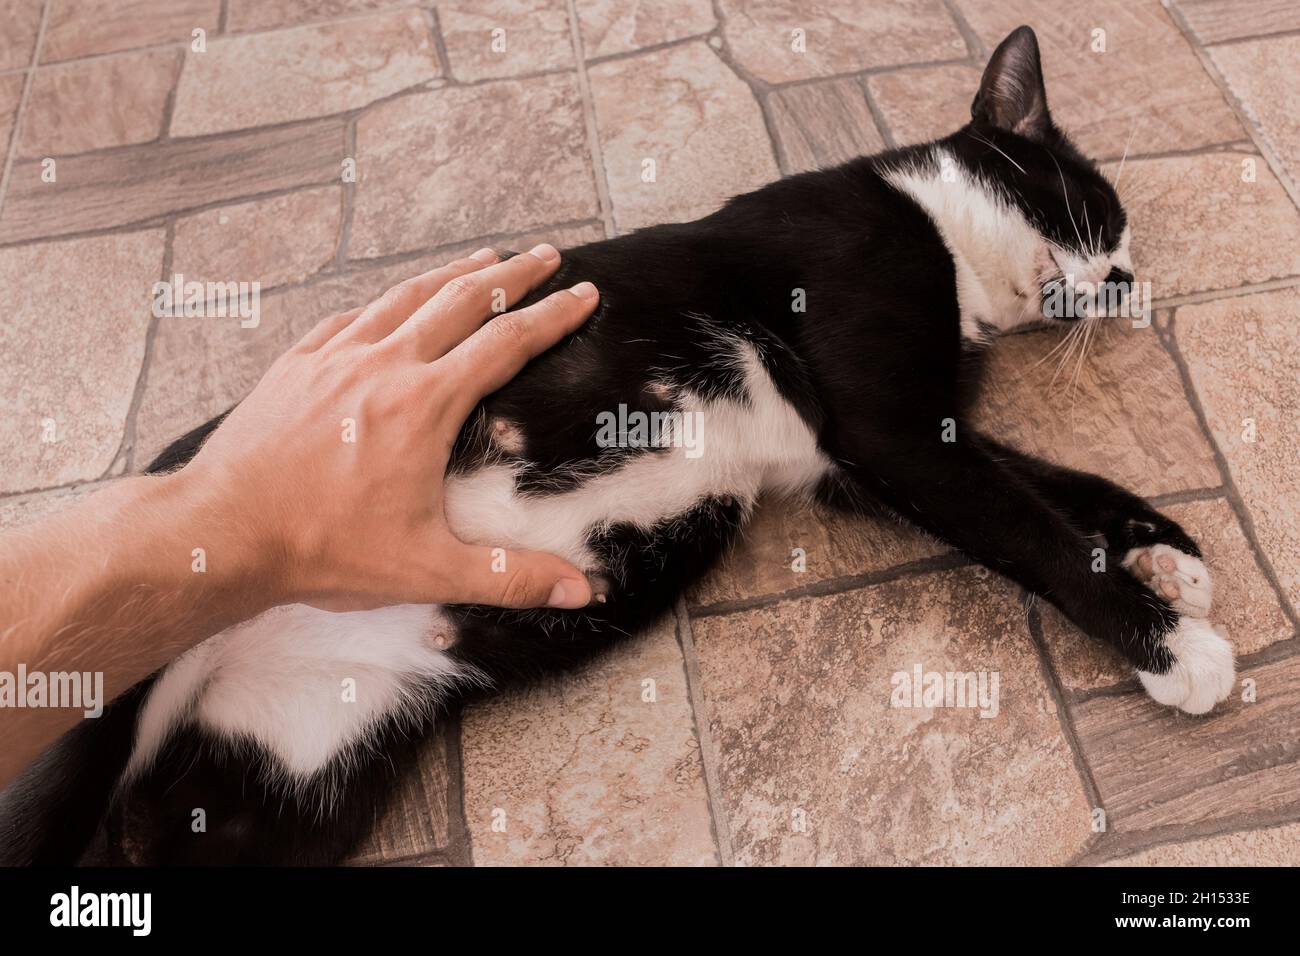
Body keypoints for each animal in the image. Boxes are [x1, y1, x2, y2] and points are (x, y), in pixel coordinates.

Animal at [0, 27, 1232, 868]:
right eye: (1094, 210)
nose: (1128, 281)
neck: (947, 247)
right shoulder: (886, 428)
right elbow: (1029, 525)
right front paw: (1171, 646)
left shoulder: (869, 457)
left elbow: (1050, 479)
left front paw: (1163, 551)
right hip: (99, 702)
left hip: (287, 792)